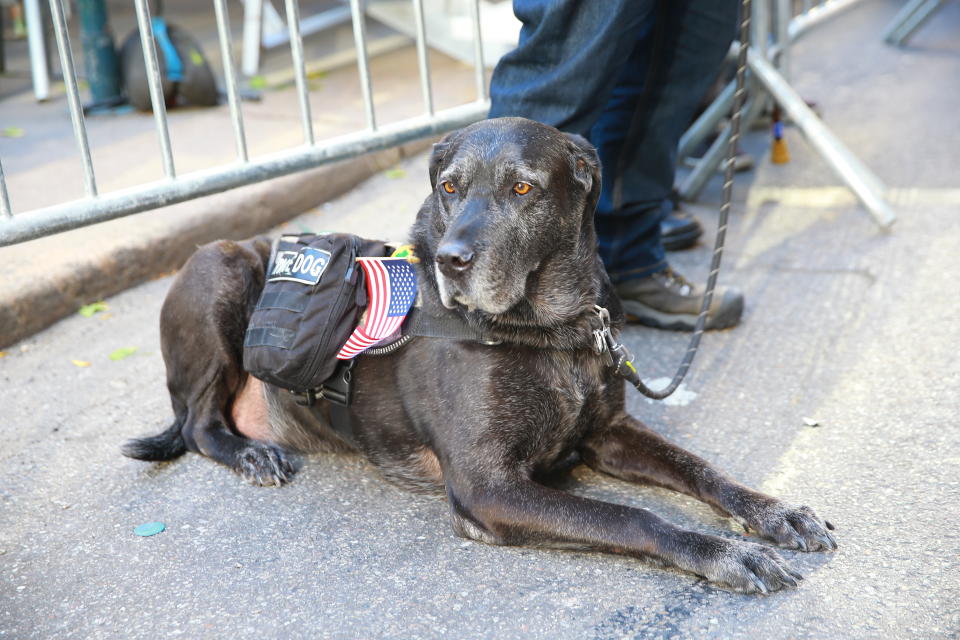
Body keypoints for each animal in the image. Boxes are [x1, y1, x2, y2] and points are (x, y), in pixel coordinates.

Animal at [125, 116, 832, 596]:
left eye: (522, 188)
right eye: (448, 186)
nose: (452, 260)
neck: (550, 327)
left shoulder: (608, 432)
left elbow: (702, 470)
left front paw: (774, 512)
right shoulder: (487, 488)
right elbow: (631, 516)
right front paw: (722, 553)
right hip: (219, 271)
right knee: (196, 423)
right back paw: (251, 454)